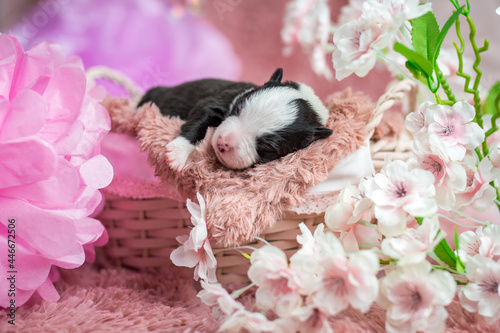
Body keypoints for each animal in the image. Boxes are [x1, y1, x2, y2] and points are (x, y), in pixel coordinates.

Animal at [138, 68, 332, 170]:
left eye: (268, 148)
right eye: (238, 108)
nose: (222, 144)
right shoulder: (216, 102)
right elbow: (198, 124)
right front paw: (177, 153)